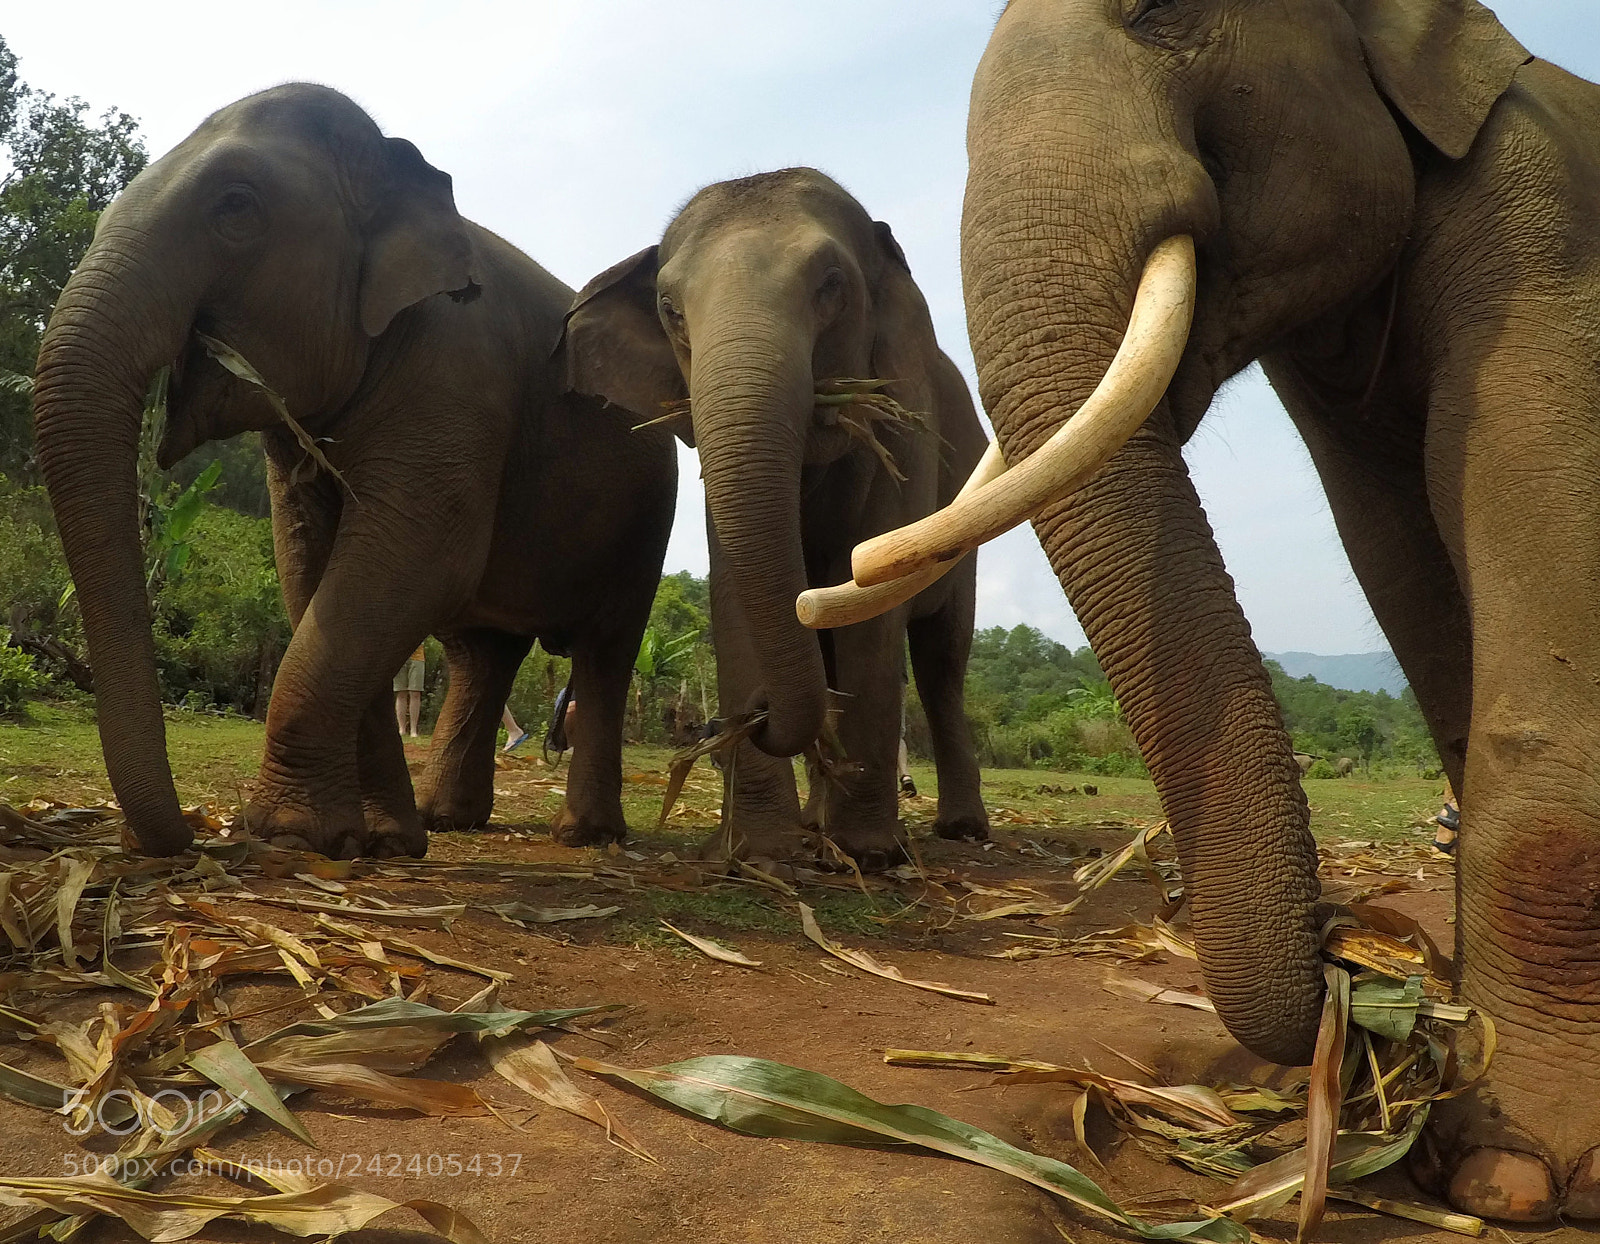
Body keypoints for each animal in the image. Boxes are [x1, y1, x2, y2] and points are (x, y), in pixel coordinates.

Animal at [32, 84, 677, 860]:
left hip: (650, 509)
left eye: (236, 207)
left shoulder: (460, 373)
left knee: (607, 650)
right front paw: (376, 841)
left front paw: (292, 834)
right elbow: (311, 567)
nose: (189, 835)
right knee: (482, 654)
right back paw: (447, 819)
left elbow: (418, 556)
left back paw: (585, 835)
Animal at [557, 168, 989, 866]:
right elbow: (734, 592)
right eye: (670, 309)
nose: (743, 719)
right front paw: (756, 852)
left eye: (831, 284)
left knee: (942, 656)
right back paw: (817, 824)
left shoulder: (906, 429)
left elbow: (874, 594)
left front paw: (871, 854)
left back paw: (960, 830)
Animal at [834, 0, 1600, 1223]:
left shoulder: (1549, 241)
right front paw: (1447, 1127)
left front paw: (1520, 1175)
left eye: (1162, 16)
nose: (1349, 940)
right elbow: (1411, 565)